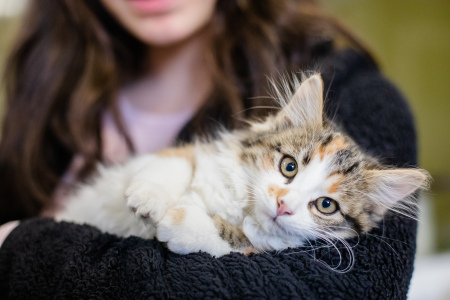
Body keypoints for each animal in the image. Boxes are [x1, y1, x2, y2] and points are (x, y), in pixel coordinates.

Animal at [56, 74, 428, 256]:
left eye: (326, 205)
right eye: (289, 167)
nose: (283, 204)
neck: (241, 207)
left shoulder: (263, 248)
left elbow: (242, 241)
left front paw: (181, 222)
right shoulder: (197, 153)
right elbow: (177, 162)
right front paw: (150, 198)